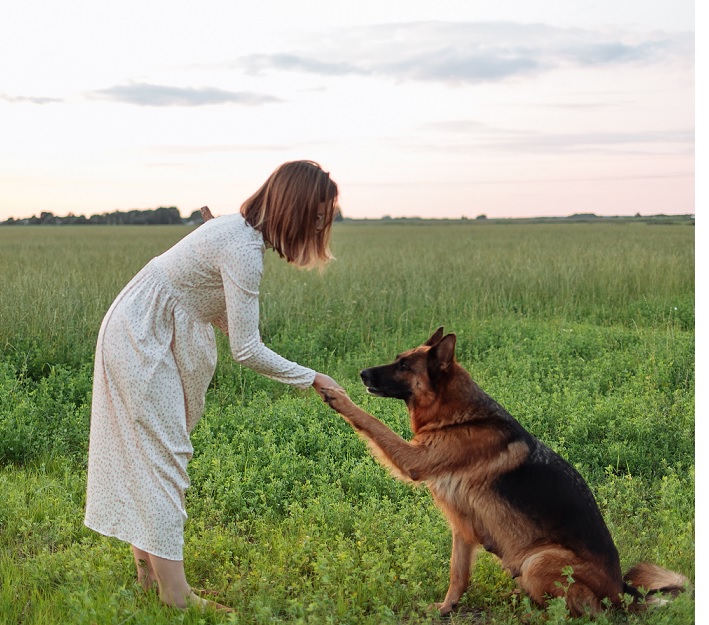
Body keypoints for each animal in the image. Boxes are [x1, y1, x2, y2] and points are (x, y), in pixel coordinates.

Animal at [320, 326, 684, 616]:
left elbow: (371, 422)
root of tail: (622, 595)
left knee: (580, 612)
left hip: (538, 561)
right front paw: (447, 607)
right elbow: (457, 574)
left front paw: (336, 396)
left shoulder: (414, 460)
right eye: (398, 359)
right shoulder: (462, 529)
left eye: (404, 366)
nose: (362, 373)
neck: (457, 416)